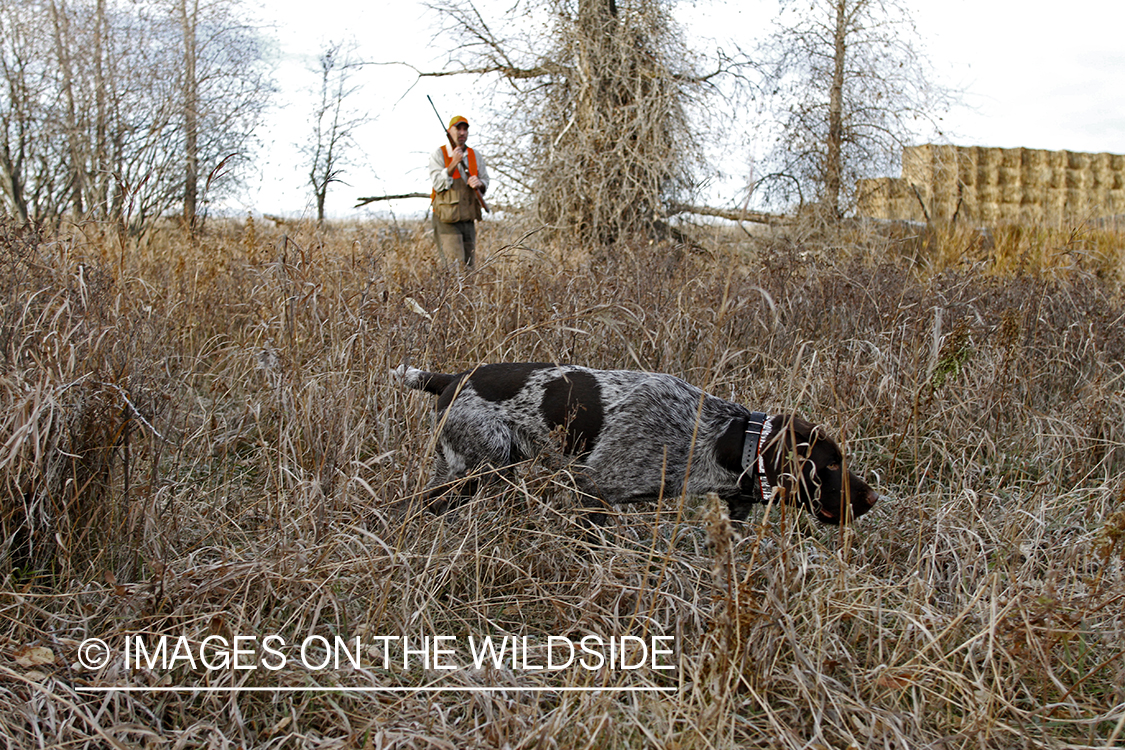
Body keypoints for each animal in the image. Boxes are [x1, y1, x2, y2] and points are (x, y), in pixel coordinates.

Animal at [396, 364, 877, 528]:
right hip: (481, 466)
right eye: (827, 467)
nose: (873, 497)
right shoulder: (596, 491)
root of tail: (452, 378)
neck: (716, 435)